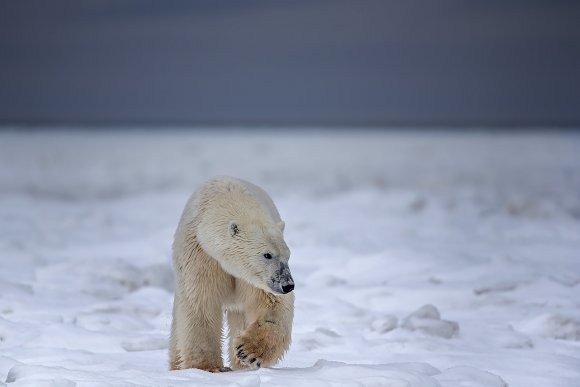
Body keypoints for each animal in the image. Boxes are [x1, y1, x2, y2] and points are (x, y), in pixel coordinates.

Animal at [168, 176, 294, 372]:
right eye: (267, 254)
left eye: (288, 255)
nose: (287, 285)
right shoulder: (201, 254)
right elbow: (201, 303)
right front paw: (206, 367)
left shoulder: (251, 278)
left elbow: (270, 304)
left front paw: (247, 351)